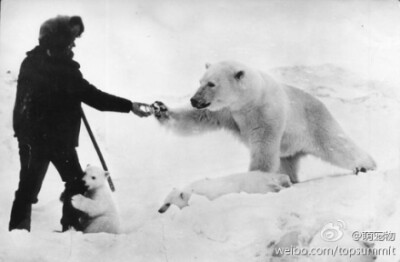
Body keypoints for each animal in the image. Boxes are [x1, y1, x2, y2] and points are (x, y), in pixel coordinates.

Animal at [152, 60, 376, 183]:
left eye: (211, 83)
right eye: (200, 81)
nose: (194, 99)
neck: (248, 101)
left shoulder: (266, 113)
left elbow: (263, 147)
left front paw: (254, 178)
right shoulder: (226, 112)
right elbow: (196, 119)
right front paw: (160, 109)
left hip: (315, 123)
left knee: (337, 146)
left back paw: (367, 166)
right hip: (289, 147)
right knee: (287, 162)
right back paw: (291, 179)